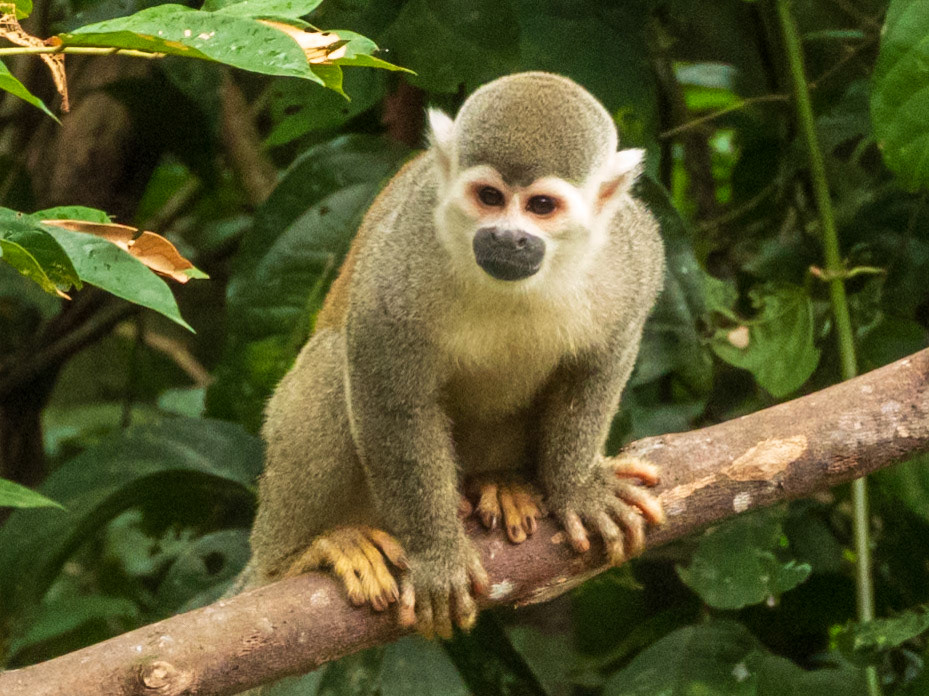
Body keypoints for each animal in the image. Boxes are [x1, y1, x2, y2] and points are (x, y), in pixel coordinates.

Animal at [242, 71, 666, 640]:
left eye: (541, 207)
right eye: (489, 196)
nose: (507, 238)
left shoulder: (632, 256)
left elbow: (601, 361)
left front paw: (578, 487)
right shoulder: (399, 264)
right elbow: (388, 393)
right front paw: (436, 555)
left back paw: (501, 482)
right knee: (335, 360)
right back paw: (296, 556)